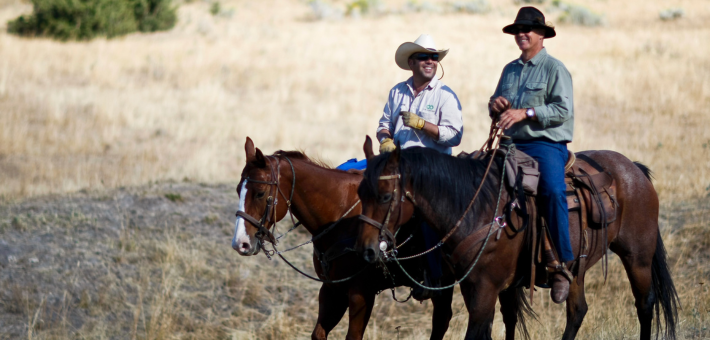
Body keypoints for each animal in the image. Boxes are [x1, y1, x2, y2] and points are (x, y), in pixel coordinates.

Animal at [234, 136, 456, 340]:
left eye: (260, 193)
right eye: (238, 190)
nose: (240, 244)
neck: (341, 217)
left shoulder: (361, 294)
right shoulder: (332, 290)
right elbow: (318, 333)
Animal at [358, 137, 680, 340]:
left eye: (385, 196)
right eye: (360, 193)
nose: (368, 251)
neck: (476, 207)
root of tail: (634, 169)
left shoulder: (486, 290)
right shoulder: (473, 287)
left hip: (637, 257)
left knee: (645, 304)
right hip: (577, 267)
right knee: (577, 311)